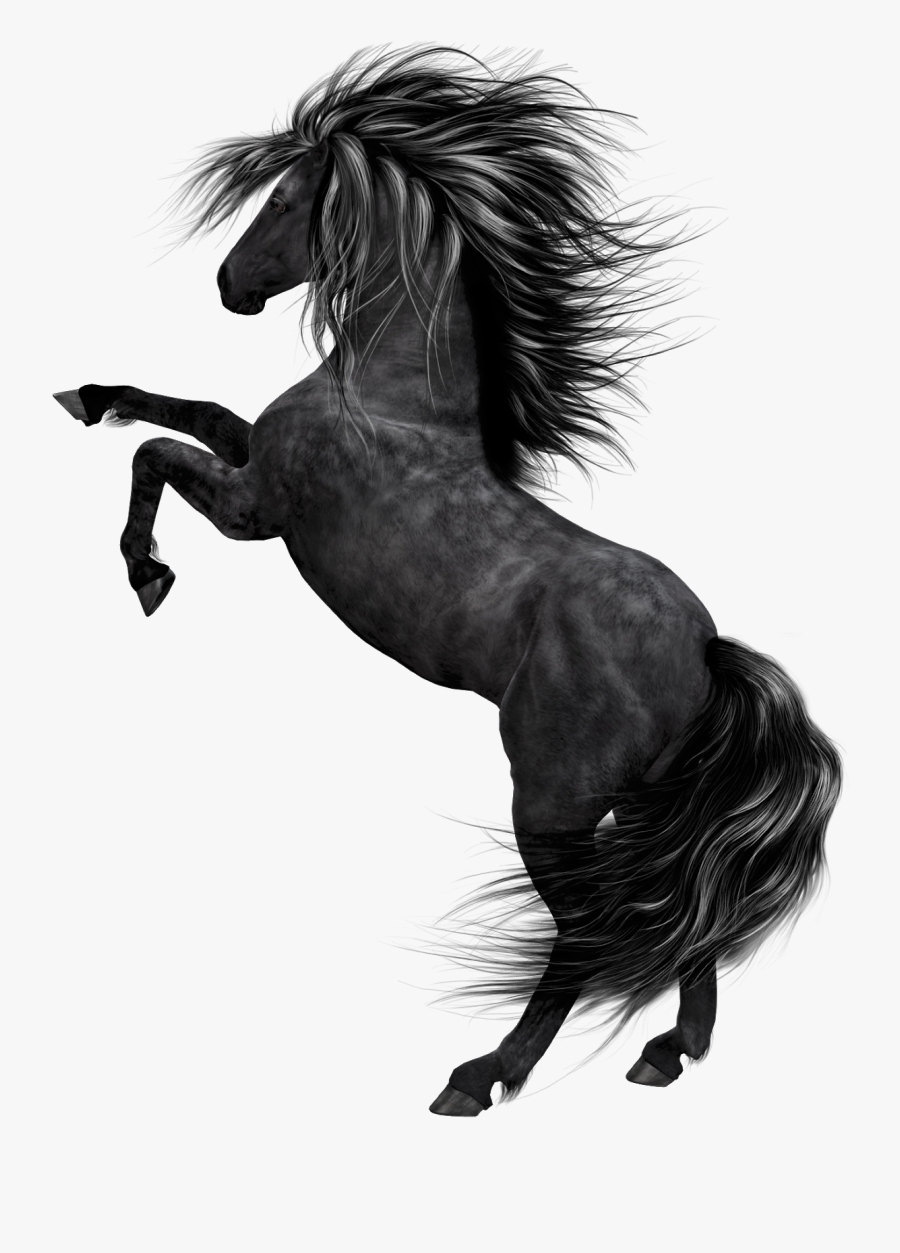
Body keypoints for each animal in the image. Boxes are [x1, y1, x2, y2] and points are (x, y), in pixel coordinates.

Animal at [53, 47, 841, 1116]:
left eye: (287, 199)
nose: (227, 284)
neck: (395, 398)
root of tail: (706, 649)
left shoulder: (259, 510)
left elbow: (159, 457)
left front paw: (148, 574)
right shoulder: (254, 460)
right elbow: (187, 410)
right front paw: (88, 397)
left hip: (550, 807)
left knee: (591, 932)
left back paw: (483, 1075)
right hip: (646, 807)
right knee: (679, 909)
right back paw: (668, 1053)